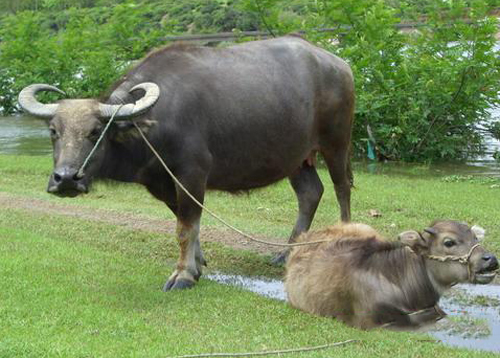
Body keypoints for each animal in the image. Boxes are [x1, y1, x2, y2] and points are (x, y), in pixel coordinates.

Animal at [19, 34, 354, 290]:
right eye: (53, 131)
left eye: (95, 131)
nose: (65, 179)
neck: (155, 122)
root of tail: (340, 65)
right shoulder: (165, 183)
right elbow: (188, 224)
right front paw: (197, 263)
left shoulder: (192, 175)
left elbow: (185, 227)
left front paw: (182, 275)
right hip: (296, 158)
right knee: (310, 193)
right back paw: (286, 253)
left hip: (337, 143)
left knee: (342, 189)